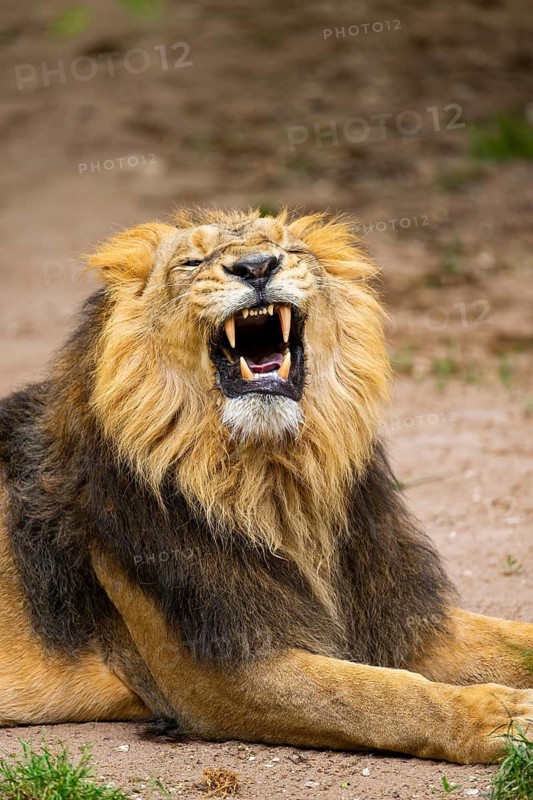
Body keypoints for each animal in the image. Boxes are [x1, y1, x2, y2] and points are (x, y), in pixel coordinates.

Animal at [0, 208, 532, 764]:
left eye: (287, 249)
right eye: (191, 262)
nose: (256, 267)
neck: (272, 478)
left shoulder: (396, 614)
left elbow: (513, 640)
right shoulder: (214, 673)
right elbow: (372, 693)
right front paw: (501, 717)